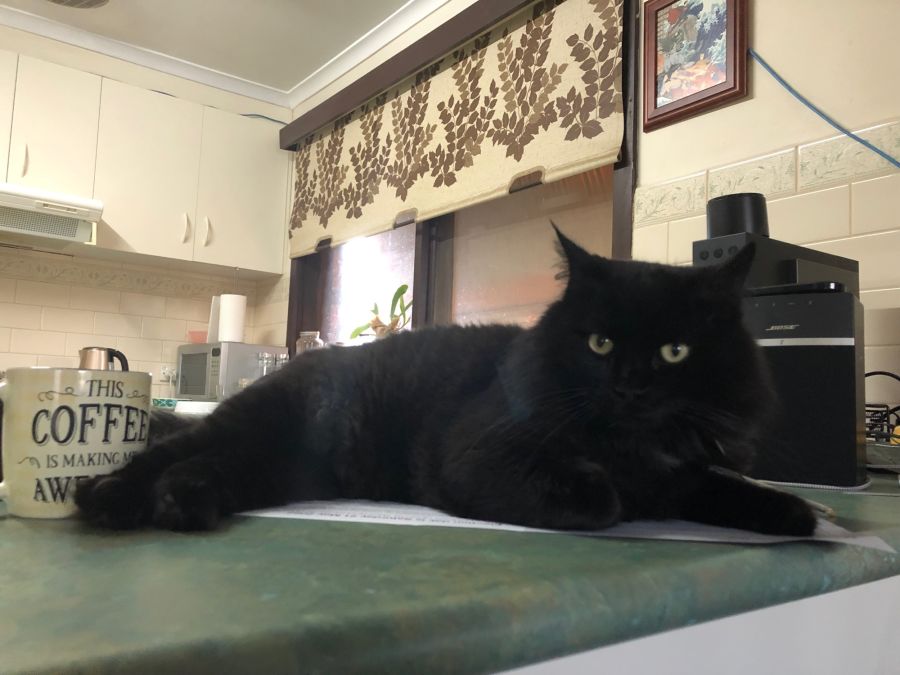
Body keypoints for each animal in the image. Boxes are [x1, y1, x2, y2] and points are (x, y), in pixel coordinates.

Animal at [75, 227, 816, 536]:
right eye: (600, 342)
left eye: (674, 351)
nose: (631, 387)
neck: (627, 449)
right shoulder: (481, 453)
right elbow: (603, 498)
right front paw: (613, 495)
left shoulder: (684, 471)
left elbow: (724, 488)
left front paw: (793, 514)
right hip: (261, 427)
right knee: (164, 454)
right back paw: (107, 499)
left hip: (279, 466)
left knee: (207, 466)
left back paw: (182, 502)